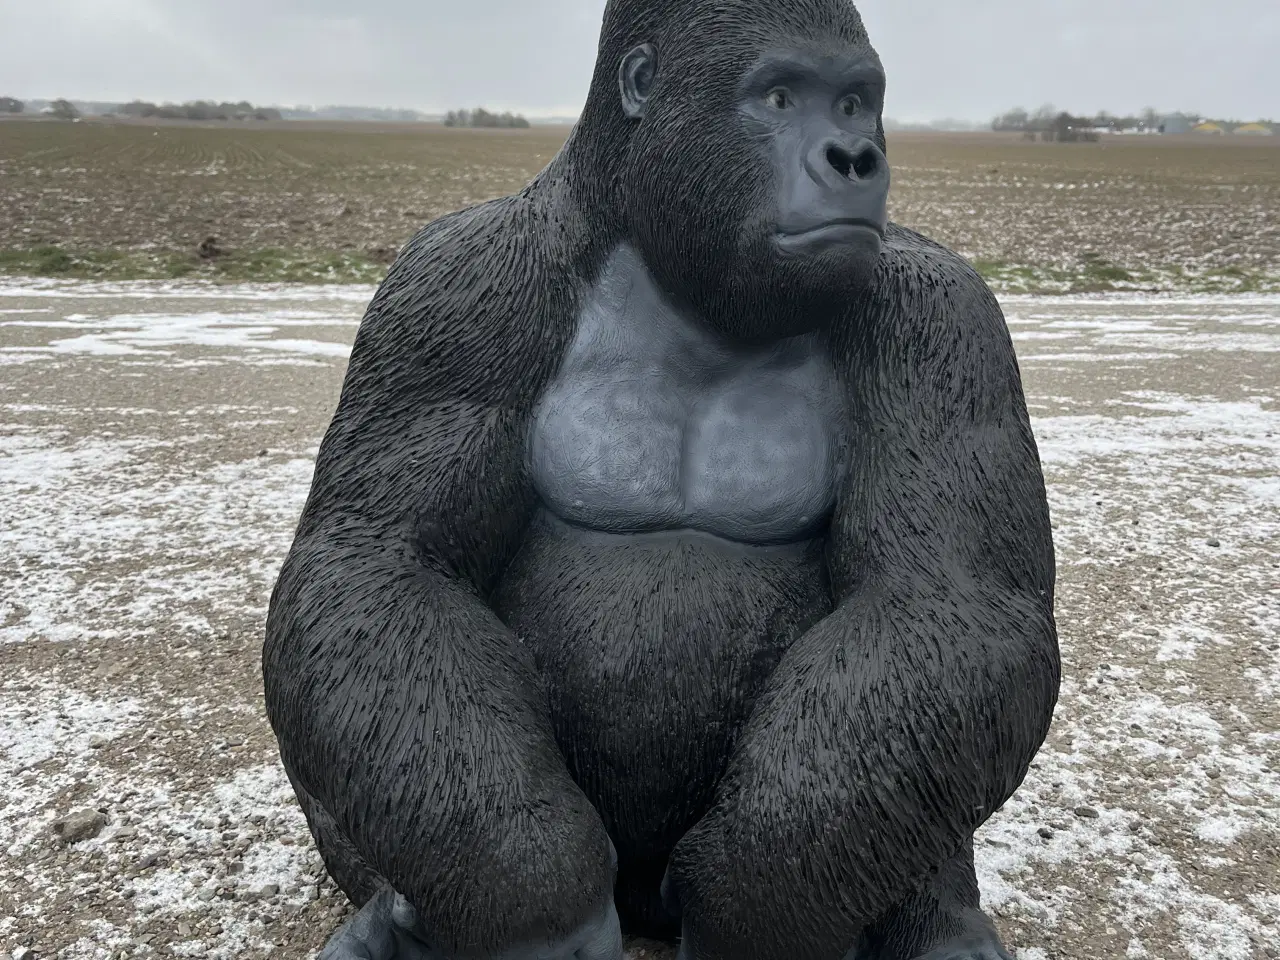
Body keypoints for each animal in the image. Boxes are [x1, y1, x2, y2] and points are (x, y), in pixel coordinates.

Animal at [262, 2, 1059, 959]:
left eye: (855, 103)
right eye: (780, 96)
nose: (856, 156)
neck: (659, 250)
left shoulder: (945, 314)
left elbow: (949, 596)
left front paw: (755, 898)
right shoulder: (451, 286)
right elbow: (379, 560)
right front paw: (538, 900)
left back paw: (938, 923)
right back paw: (393, 918)